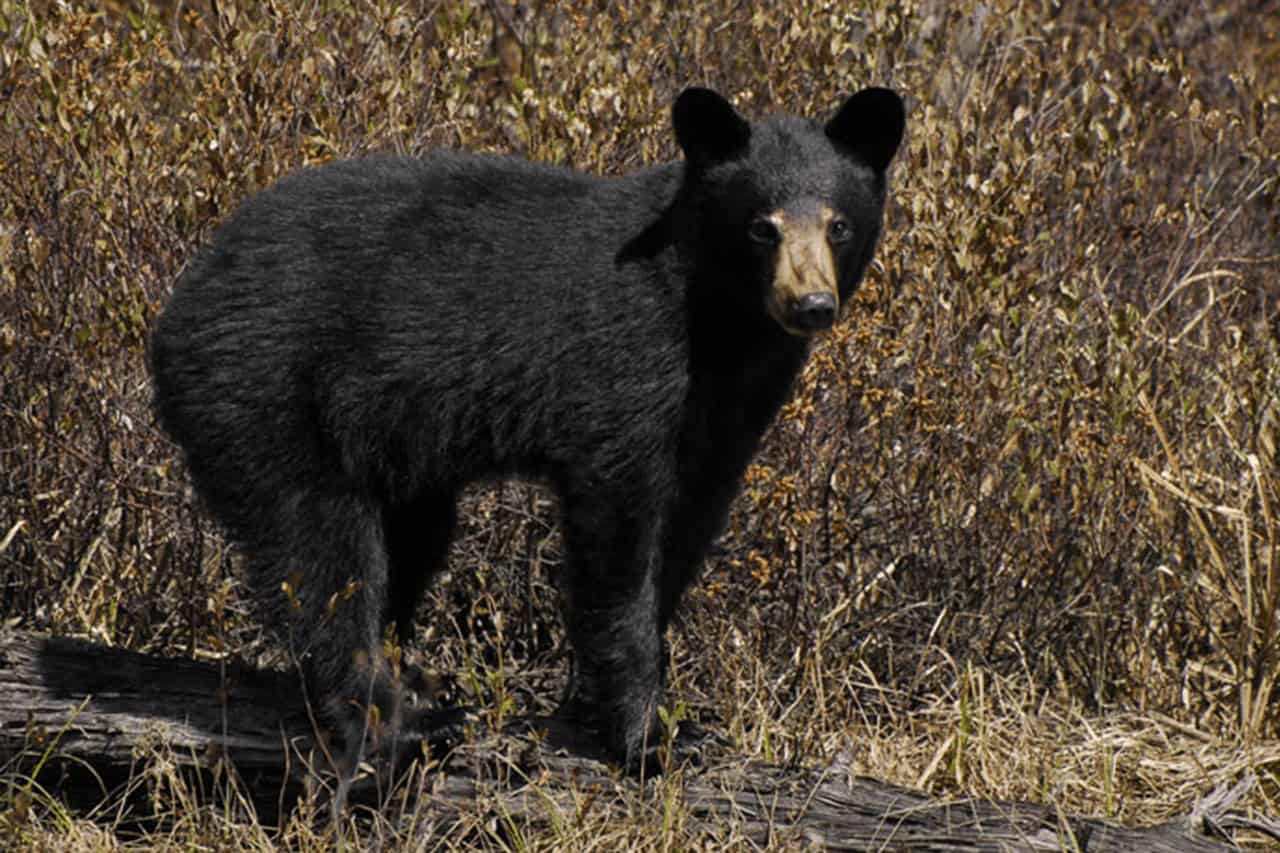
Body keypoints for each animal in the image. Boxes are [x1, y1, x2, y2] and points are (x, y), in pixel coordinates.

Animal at [149, 86, 905, 776]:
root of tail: (179, 302)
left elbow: (687, 525)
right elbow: (620, 533)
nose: (810, 304)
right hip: (269, 394)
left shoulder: (729, 409)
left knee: (408, 543)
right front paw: (647, 735)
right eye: (761, 227)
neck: (721, 317)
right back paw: (393, 717)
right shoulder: (628, 364)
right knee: (321, 554)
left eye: (838, 225)